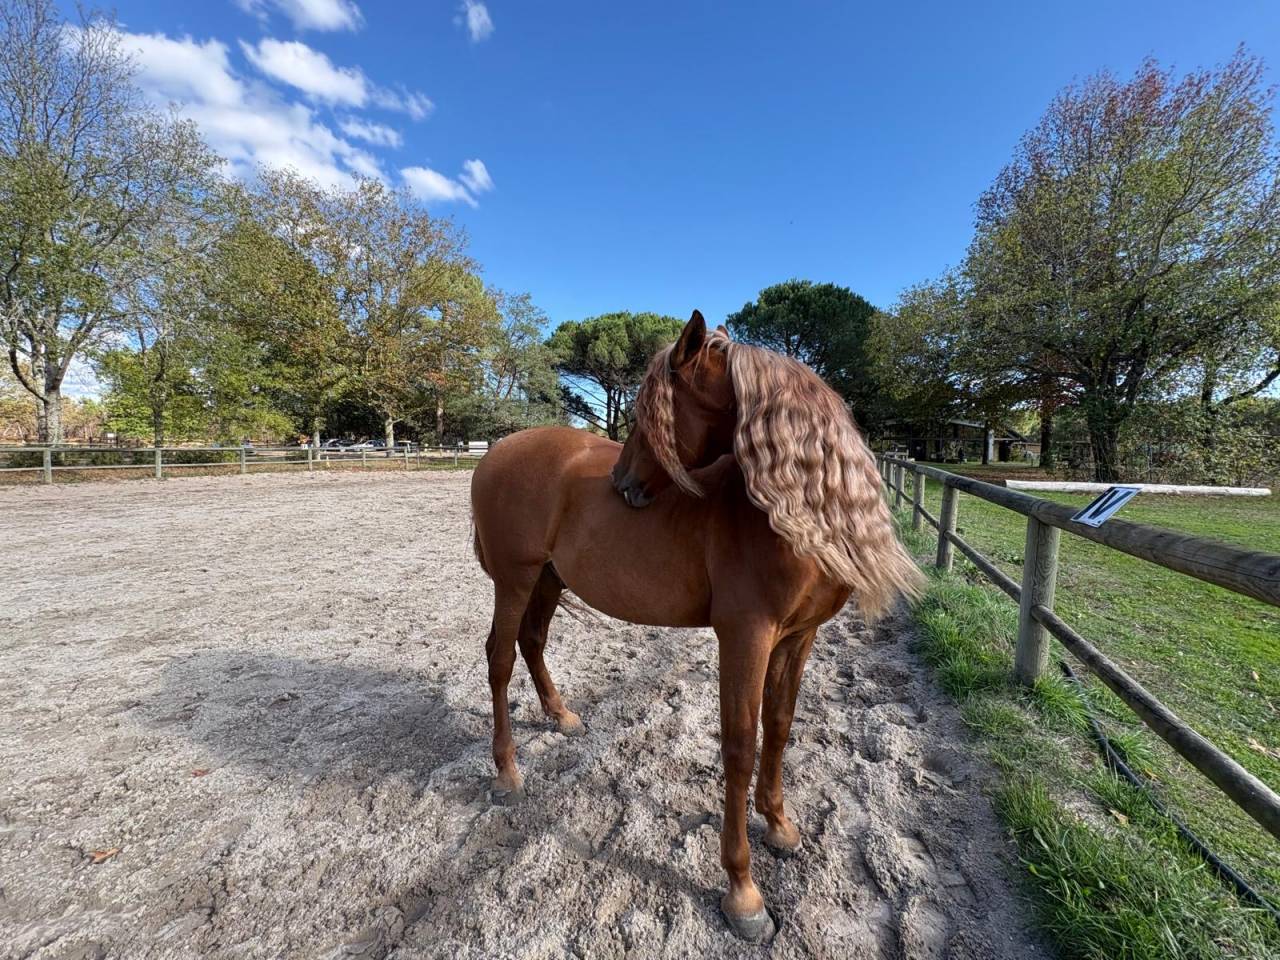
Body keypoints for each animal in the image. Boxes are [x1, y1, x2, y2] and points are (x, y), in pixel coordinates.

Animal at [469, 310, 922, 940]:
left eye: (648, 411)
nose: (621, 483)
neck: (785, 509)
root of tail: (495, 452)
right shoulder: (745, 635)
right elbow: (739, 745)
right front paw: (743, 893)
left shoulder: (798, 636)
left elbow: (779, 726)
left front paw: (779, 825)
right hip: (515, 580)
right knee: (501, 658)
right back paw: (508, 773)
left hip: (548, 580)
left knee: (532, 643)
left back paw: (561, 717)